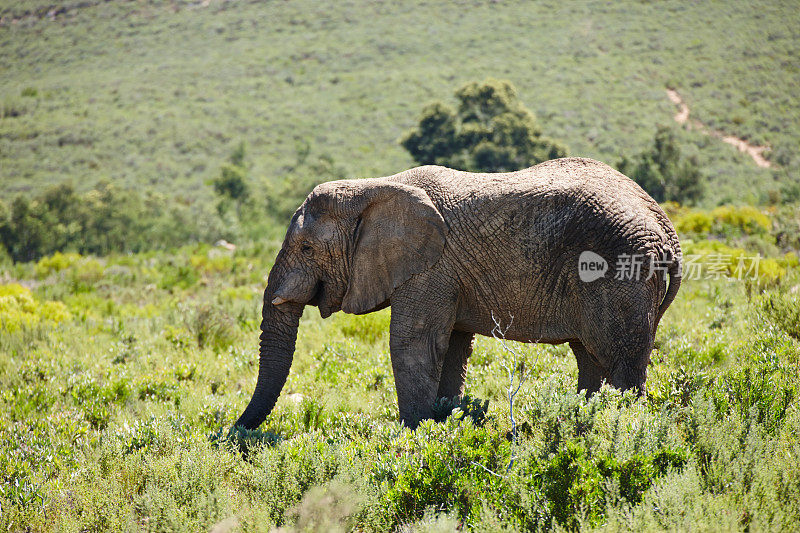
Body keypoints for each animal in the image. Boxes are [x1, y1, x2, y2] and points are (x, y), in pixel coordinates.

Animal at [233, 157, 680, 428]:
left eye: (307, 249)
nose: (237, 435)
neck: (375, 187)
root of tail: (665, 225)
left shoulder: (430, 269)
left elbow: (412, 343)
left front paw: (412, 436)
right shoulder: (446, 276)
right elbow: (450, 347)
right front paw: (443, 425)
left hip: (619, 269)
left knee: (619, 360)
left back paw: (620, 427)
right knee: (591, 356)